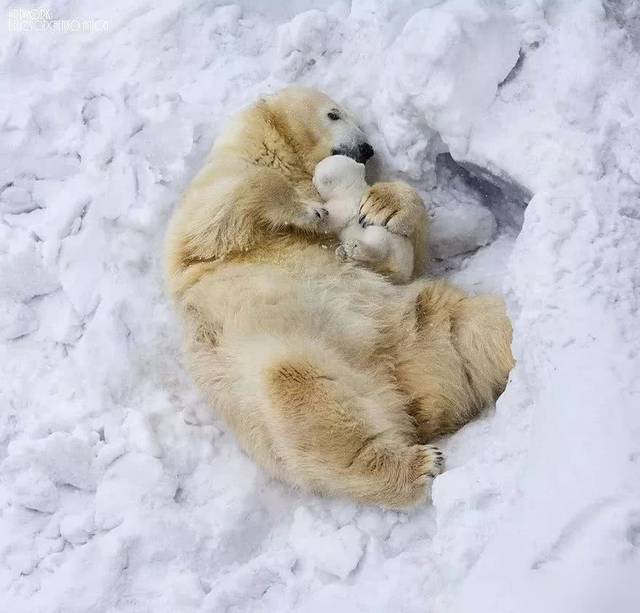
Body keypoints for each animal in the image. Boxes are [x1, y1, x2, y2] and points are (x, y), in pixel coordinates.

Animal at [314, 155, 416, 284]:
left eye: (315, 174)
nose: (312, 179)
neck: (351, 187)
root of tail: (403, 273)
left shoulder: (345, 204)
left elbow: (332, 220)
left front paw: (319, 212)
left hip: (389, 241)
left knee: (378, 245)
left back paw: (353, 247)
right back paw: (343, 253)